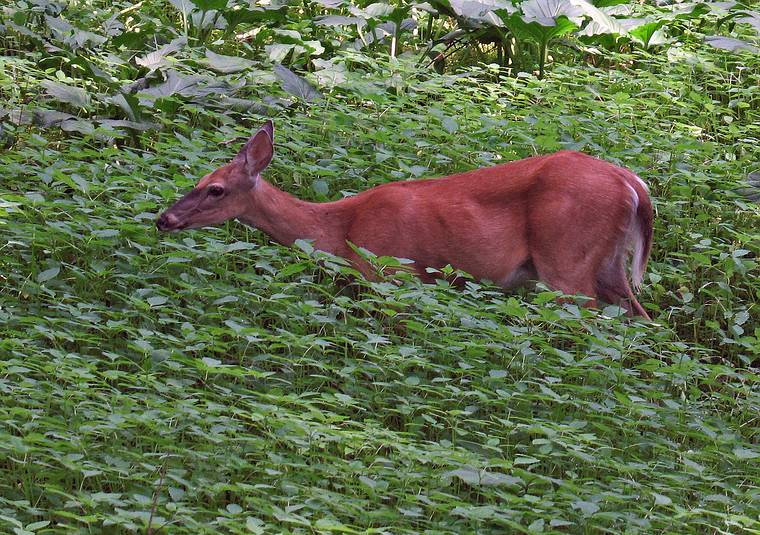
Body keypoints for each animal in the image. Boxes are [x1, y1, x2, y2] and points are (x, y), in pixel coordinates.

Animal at [154, 120, 652, 318]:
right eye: (198, 179)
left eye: (216, 189)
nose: (163, 219)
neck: (340, 230)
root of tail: (633, 184)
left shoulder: (396, 272)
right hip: (607, 264)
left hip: (565, 258)